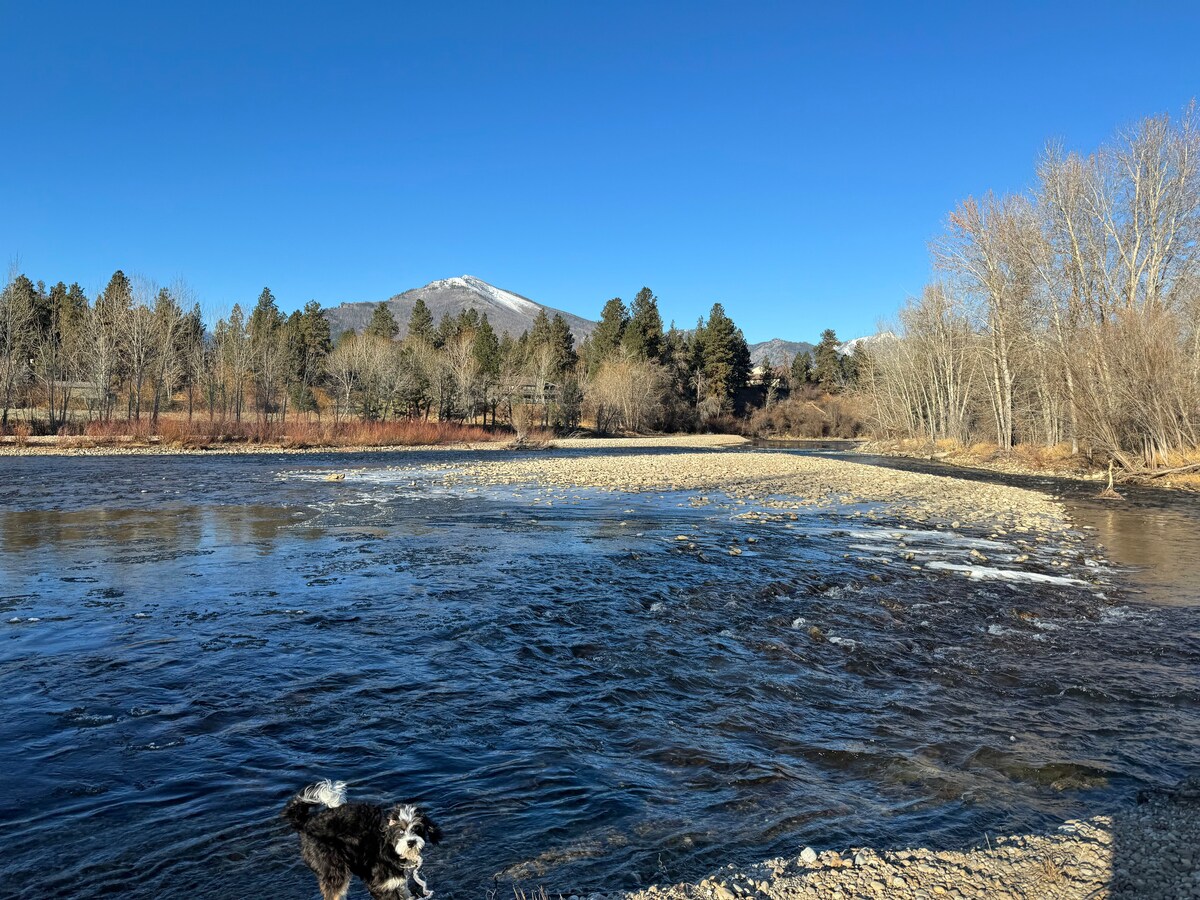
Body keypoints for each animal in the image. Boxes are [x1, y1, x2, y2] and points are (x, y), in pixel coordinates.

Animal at [283, 777, 444, 897]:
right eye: (400, 831)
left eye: (417, 829)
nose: (411, 842)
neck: (389, 846)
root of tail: (306, 822)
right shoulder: (381, 885)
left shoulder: (397, 881)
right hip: (332, 866)